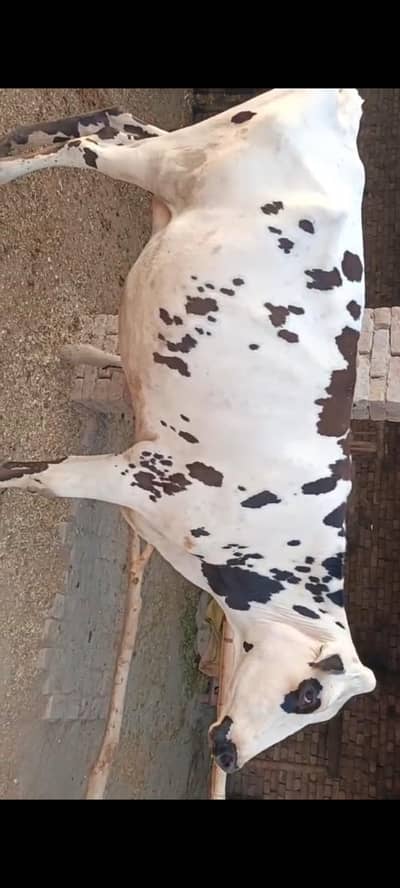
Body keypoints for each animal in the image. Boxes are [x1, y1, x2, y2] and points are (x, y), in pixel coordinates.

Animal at [0, 89, 376, 773]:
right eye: (308, 695)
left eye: (312, 714)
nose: (230, 756)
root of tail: (343, 104)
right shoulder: (146, 475)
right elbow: (43, 477)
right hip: (168, 164)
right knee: (89, 147)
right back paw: (7, 170)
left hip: (181, 156)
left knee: (115, 120)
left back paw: (18, 142)